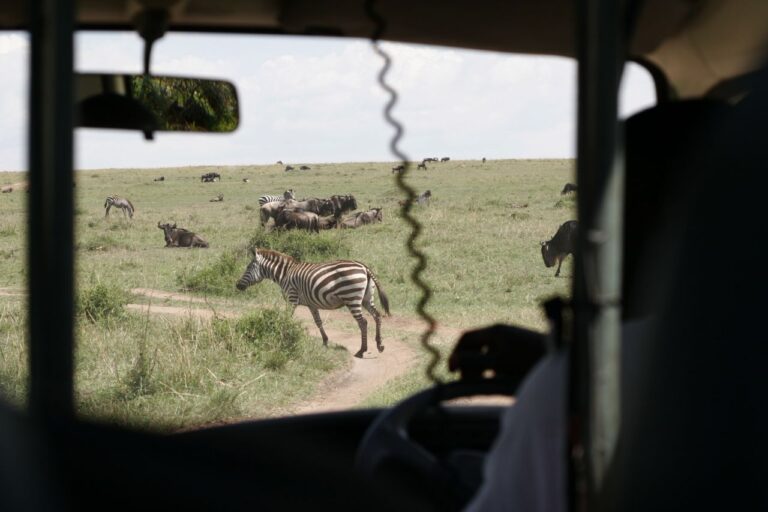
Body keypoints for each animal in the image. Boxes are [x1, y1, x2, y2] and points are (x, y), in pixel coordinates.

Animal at [236, 249, 390, 360]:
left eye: (248, 267)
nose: (237, 286)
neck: (284, 274)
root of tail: (364, 267)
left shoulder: (292, 298)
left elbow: (287, 319)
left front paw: (283, 336)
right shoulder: (311, 304)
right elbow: (318, 322)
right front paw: (325, 341)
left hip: (352, 297)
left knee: (363, 322)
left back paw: (361, 350)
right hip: (366, 298)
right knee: (377, 316)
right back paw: (380, 344)